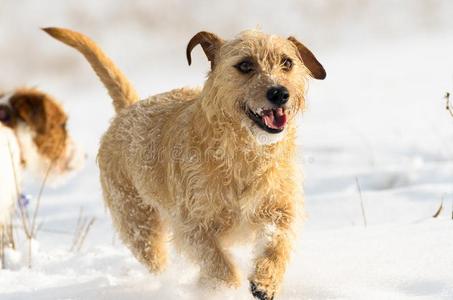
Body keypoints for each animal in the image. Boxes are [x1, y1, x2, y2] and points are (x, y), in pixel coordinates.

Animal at [45, 27, 324, 298]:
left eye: (287, 62)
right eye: (245, 65)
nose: (280, 93)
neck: (243, 152)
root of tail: (129, 109)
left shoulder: (280, 207)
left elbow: (277, 243)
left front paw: (266, 282)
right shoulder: (193, 226)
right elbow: (220, 267)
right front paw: (220, 289)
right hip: (139, 227)